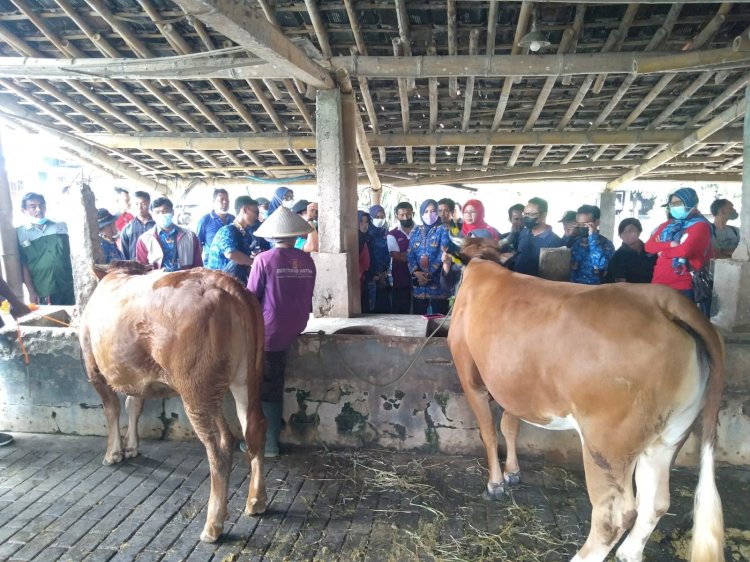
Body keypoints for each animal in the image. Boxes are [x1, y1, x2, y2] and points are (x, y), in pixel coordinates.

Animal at [78, 262, 268, 544]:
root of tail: (226, 283)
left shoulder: (93, 368)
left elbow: (111, 409)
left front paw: (113, 453)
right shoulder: (136, 375)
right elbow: (133, 405)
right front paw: (131, 447)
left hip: (197, 389)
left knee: (220, 444)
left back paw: (213, 525)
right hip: (248, 377)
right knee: (254, 427)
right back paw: (256, 501)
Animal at [450, 237, 724, 560]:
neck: (481, 266)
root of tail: (664, 301)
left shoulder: (471, 378)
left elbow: (489, 432)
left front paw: (495, 484)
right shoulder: (513, 386)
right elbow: (510, 427)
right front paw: (512, 473)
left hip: (607, 445)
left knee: (614, 517)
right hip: (668, 436)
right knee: (655, 502)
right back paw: (629, 552)